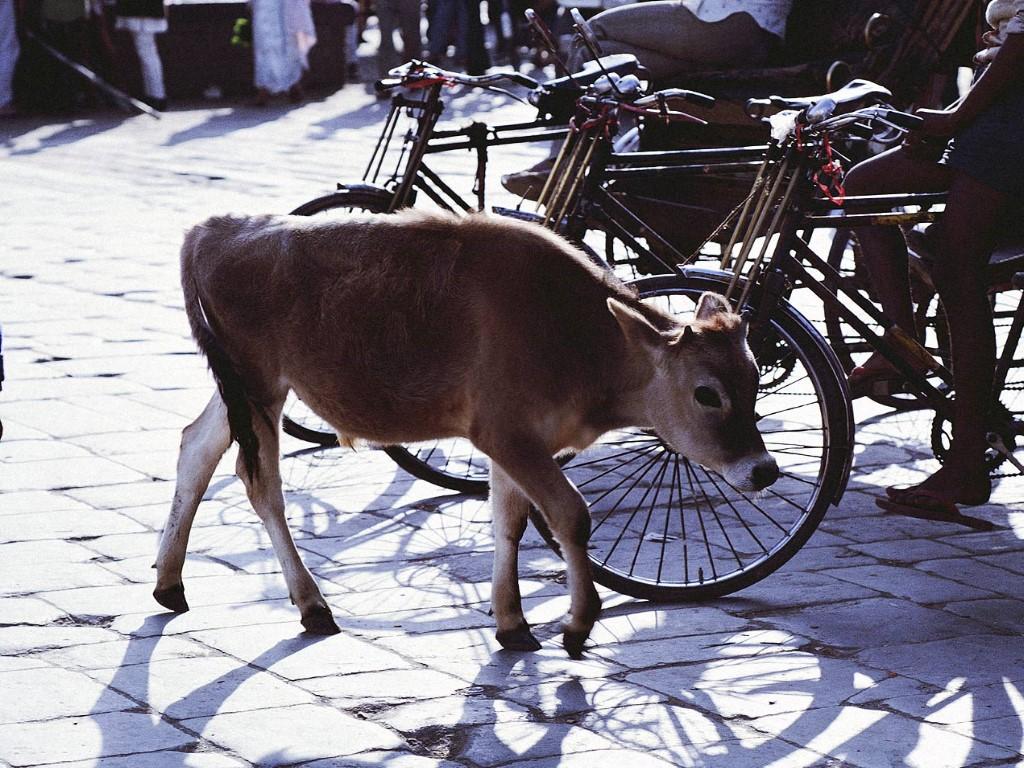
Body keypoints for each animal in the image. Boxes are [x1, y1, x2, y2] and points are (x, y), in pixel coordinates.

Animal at [153, 208, 774, 655]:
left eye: (754, 377)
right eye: (706, 393)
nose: (763, 470)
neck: (575, 332)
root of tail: (215, 229)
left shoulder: (515, 443)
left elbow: (509, 522)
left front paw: (512, 622)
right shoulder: (506, 434)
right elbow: (571, 515)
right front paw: (576, 625)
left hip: (239, 389)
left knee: (195, 447)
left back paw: (169, 582)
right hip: (258, 385)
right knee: (260, 482)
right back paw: (311, 604)